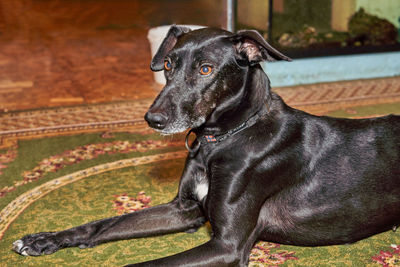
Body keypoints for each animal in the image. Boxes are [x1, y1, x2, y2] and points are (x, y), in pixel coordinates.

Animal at [13, 26, 400, 267]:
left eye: (205, 69)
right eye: (168, 65)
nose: (153, 119)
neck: (222, 139)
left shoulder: (227, 245)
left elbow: (147, 264)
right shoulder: (183, 210)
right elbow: (103, 225)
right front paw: (42, 240)